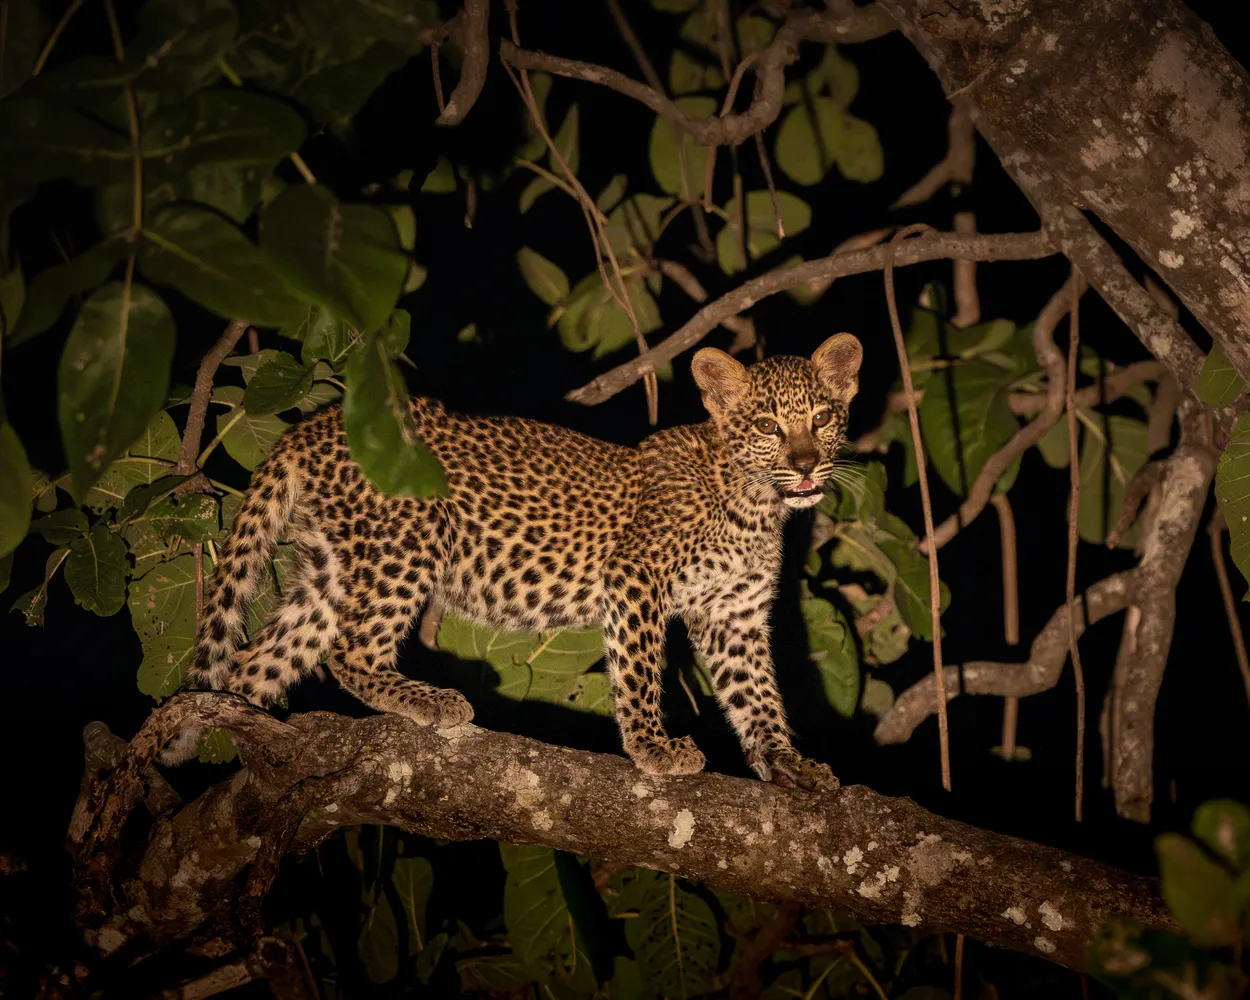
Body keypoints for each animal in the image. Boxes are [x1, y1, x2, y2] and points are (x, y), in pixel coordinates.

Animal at [164, 333, 863, 791]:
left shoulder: (733, 617)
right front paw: (652, 750)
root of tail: (313, 424)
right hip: (410, 538)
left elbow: (757, 699)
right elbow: (638, 672)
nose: (806, 465)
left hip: (330, 569)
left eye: (822, 417)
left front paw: (789, 765)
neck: (756, 504)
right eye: (769, 426)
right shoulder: (636, 577)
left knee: (254, 666)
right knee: (351, 651)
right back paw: (429, 700)